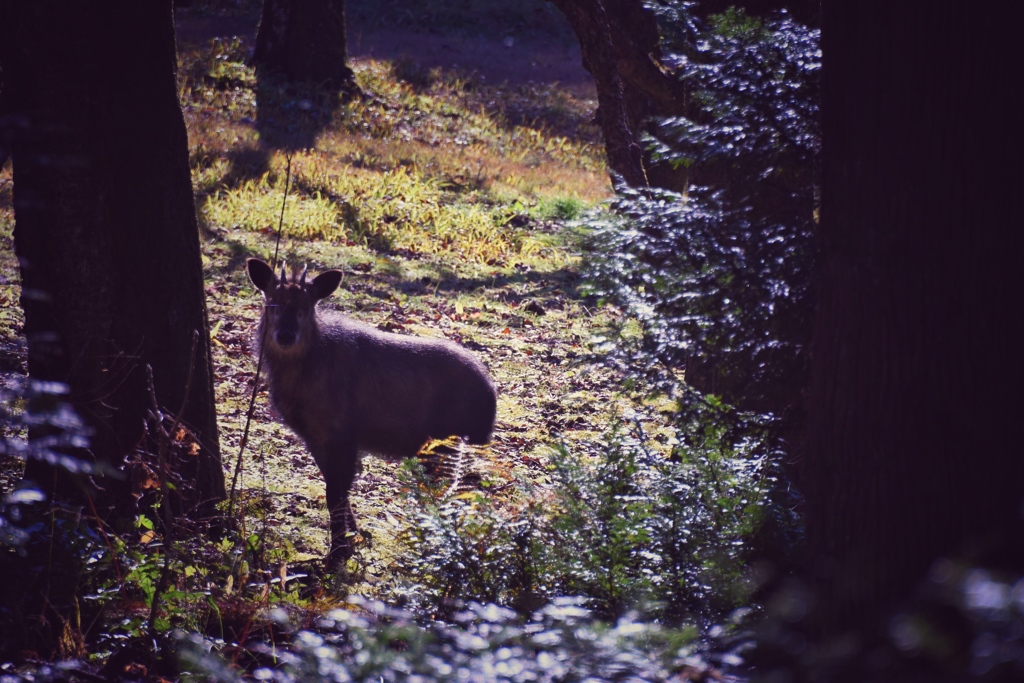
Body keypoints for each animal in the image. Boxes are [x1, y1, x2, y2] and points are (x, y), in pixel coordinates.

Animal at [241, 259, 493, 569]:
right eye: (272, 302)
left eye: (306, 305)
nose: (286, 335)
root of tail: (490, 395)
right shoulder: (314, 437)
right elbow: (335, 489)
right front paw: (353, 536)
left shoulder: (342, 435)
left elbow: (335, 493)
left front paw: (338, 553)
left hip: (448, 444)